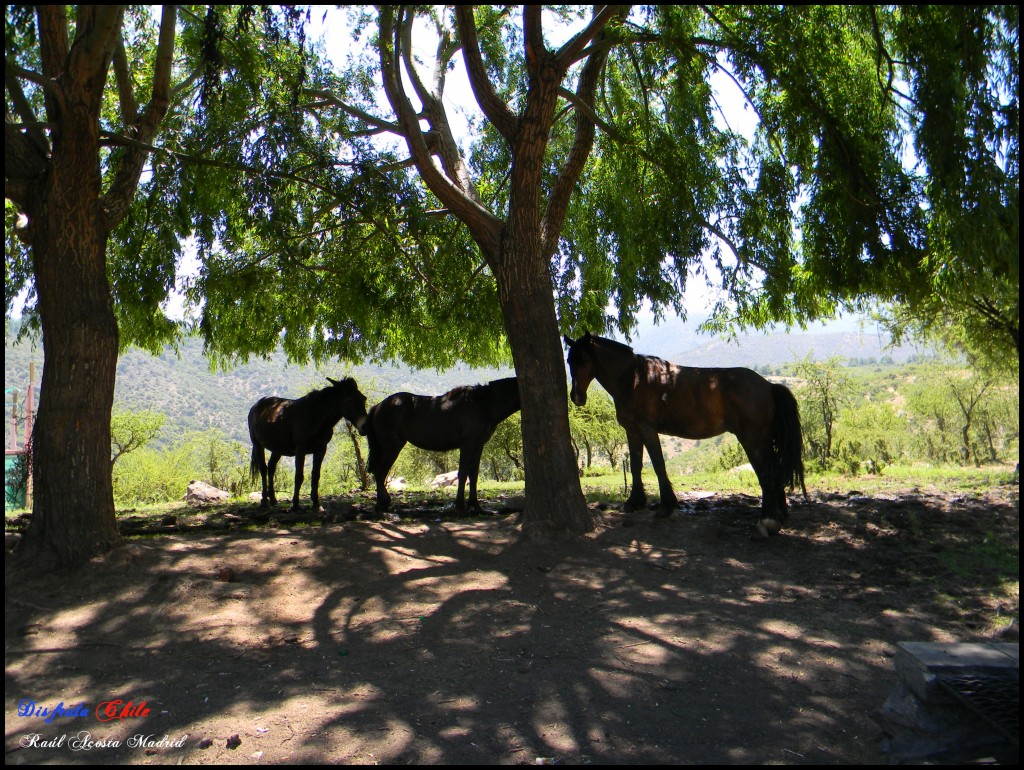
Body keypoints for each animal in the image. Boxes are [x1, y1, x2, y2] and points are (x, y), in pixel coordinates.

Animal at [247, 376, 368, 511]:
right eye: (349, 400)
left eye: (363, 398)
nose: (365, 426)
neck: (314, 417)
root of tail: (257, 405)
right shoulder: (301, 450)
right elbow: (299, 476)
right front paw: (295, 505)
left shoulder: (321, 449)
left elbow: (315, 476)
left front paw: (316, 504)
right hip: (258, 445)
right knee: (263, 469)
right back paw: (264, 501)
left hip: (277, 449)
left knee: (271, 468)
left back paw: (273, 500)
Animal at [360, 376, 520, 514]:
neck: (483, 404)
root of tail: (378, 406)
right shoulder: (467, 445)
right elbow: (463, 474)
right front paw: (460, 506)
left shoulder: (478, 445)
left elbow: (473, 474)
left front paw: (476, 506)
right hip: (391, 447)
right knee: (380, 473)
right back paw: (383, 503)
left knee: (379, 473)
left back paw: (381, 503)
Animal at [565, 333, 802, 536]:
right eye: (569, 360)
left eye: (584, 359)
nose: (576, 397)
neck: (634, 378)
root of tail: (768, 386)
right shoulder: (632, 431)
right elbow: (635, 466)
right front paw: (634, 502)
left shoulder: (647, 430)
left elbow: (659, 465)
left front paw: (666, 506)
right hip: (764, 442)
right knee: (774, 472)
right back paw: (779, 515)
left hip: (754, 442)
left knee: (766, 475)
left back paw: (767, 521)